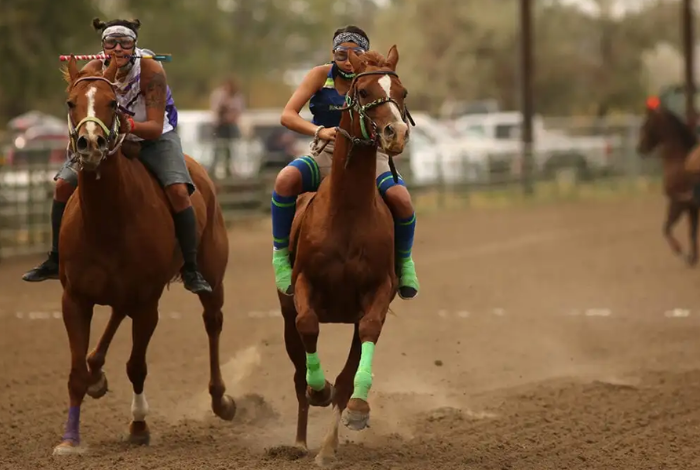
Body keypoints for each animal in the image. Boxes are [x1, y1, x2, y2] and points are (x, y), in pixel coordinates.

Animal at [52, 56, 237, 456]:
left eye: (112, 103)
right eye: (71, 103)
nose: (91, 143)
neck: (107, 220)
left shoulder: (148, 302)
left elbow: (137, 366)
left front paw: (138, 426)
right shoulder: (74, 299)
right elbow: (74, 372)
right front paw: (70, 439)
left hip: (213, 278)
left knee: (213, 323)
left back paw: (221, 401)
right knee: (114, 318)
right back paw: (96, 373)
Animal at [276, 46, 410, 466]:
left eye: (402, 92)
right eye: (364, 91)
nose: (397, 133)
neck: (347, 214)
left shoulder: (377, 293)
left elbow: (359, 353)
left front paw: (355, 412)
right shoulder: (304, 286)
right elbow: (308, 326)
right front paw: (319, 390)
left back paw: (325, 445)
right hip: (284, 310)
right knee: (297, 371)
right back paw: (299, 440)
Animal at [636, 94, 696, 268]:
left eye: (646, 124)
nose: (640, 148)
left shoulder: (679, 203)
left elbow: (666, 229)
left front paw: (681, 252)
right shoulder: (691, 207)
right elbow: (691, 232)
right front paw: (692, 258)